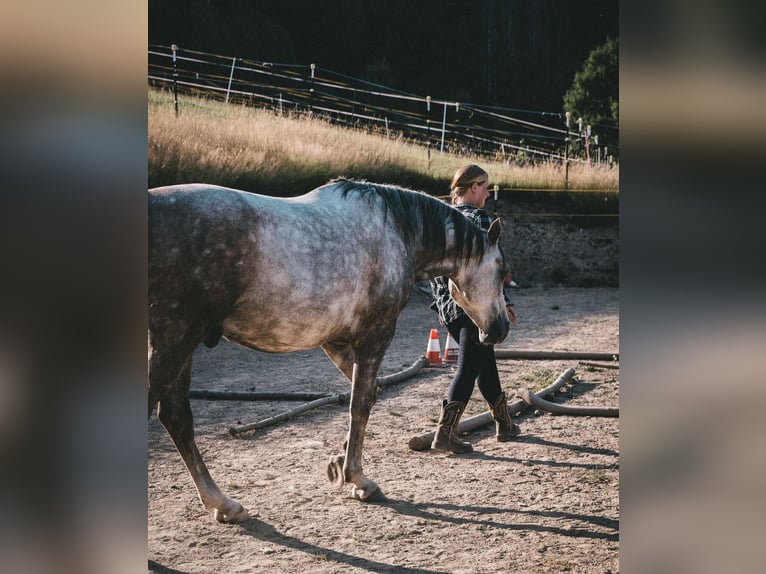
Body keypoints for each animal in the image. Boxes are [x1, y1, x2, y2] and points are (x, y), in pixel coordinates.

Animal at [148, 181, 510, 528]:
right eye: (501, 270)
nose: (500, 328)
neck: (397, 230)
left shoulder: (334, 341)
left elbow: (366, 395)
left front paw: (340, 463)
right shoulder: (375, 335)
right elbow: (360, 403)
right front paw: (358, 479)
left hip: (179, 347)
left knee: (177, 419)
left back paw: (222, 504)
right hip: (175, 341)